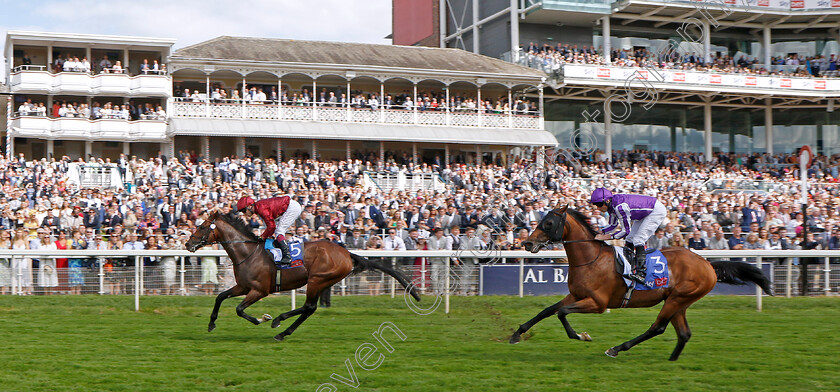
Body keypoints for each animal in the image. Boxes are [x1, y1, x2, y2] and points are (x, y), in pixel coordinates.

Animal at [185, 211, 420, 340]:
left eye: (203, 226)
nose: (188, 244)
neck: (248, 253)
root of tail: (346, 253)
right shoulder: (243, 286)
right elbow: (220, 297)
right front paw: (211, 324)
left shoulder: (259, 290)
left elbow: (239, 309)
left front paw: (262, 318)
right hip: (323, 281)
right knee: (310, 308)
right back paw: (282, 330)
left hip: (317, 279)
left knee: (308, 307)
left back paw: (278, 323)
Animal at [508, 205, 772, 362]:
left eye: (548, 224)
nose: (527, 244)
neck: (591, 259)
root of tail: (707, 263)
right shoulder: (576, 295)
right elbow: (547, 311)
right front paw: (516, 334)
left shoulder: (598, 303)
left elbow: (561, 313)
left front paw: (582, 336)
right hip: (679, 301)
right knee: (684, 333)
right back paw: (672, 360)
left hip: (678, 298)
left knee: (658, 328)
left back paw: (617, 348)